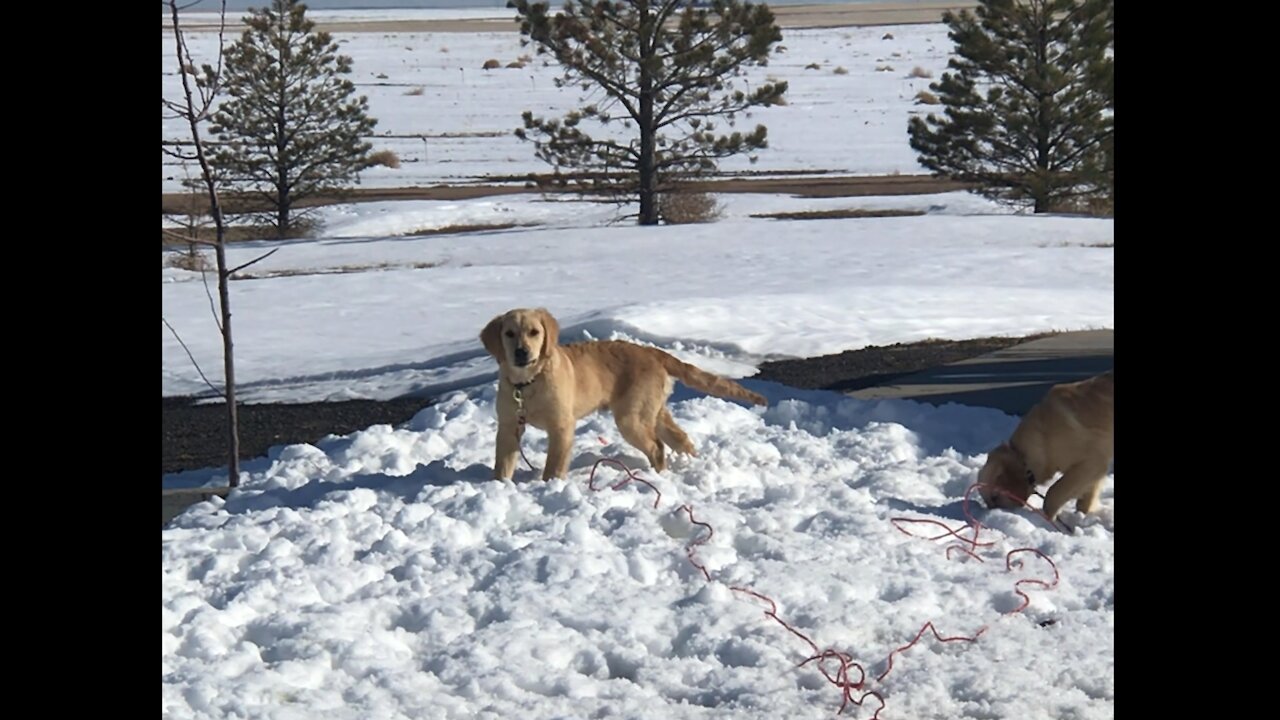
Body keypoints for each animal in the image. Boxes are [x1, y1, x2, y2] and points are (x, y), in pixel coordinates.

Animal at [478, 304, 757, 479]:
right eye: (509, 333)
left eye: (535, 332)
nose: (522, 352)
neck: (527, 384)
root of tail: (651, 352)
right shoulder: (508, 427)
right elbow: (502, 466)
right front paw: (501, 486)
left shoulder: (561, 426)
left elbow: (554, 466)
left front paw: (550, 485)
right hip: (653, 411)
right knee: (680, 438)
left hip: (630, 416)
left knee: (657, 446)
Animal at [977, 368, 1111, 515]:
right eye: (988, 503)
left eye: (994, 497)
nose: (990, 515)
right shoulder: (1095, 469)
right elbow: (1086, 496)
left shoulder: (1092, 461)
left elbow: (1052, 494)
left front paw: (1049, 519)